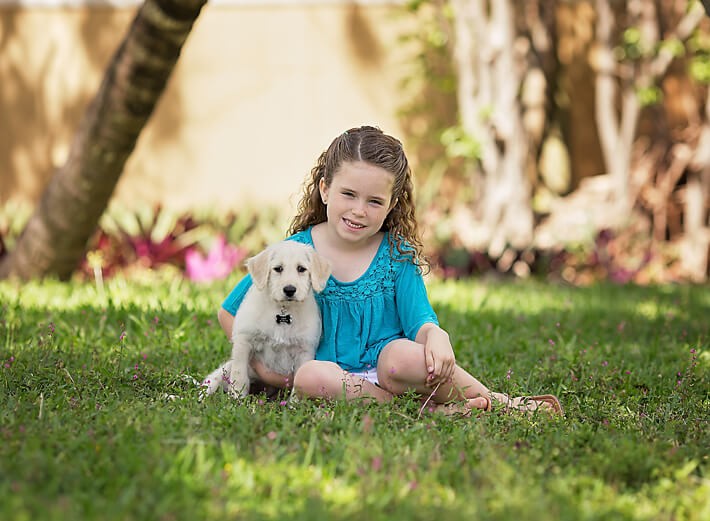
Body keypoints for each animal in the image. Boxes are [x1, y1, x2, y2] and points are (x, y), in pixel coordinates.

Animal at [203, 240, 330, 398]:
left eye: (301, 269)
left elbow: (299, 382)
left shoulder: (305, 350)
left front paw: (295, 402)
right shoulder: (244, 340)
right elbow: (239, 373)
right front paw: (237, 396)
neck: (283, 310)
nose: (289, 290)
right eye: (278, 269)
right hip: (222, 372)